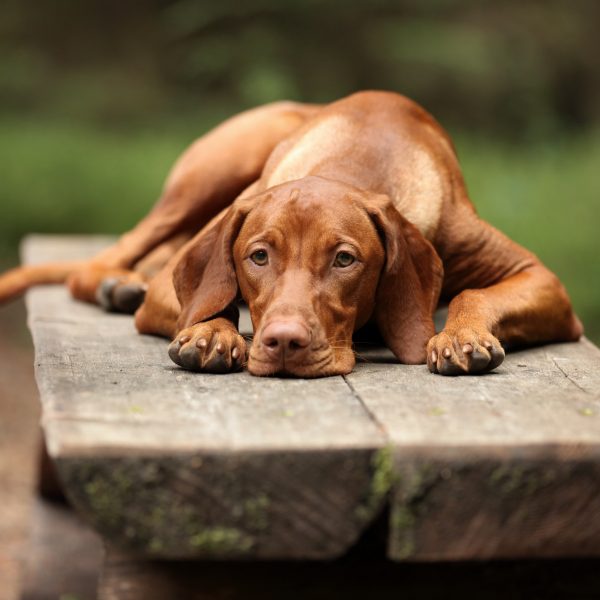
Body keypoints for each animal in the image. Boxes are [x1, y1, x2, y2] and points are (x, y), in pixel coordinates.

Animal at [0, 90, 580, 376]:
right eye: (258, 257)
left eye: (345, 259)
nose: (283, 343)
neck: (359, 159)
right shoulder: (181, 279)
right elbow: (210, 303)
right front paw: (213, 333)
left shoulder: (541, 278)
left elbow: (475, 294)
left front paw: (460, 335)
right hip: (215, 169)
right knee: (108, 257)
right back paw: (118, 285)